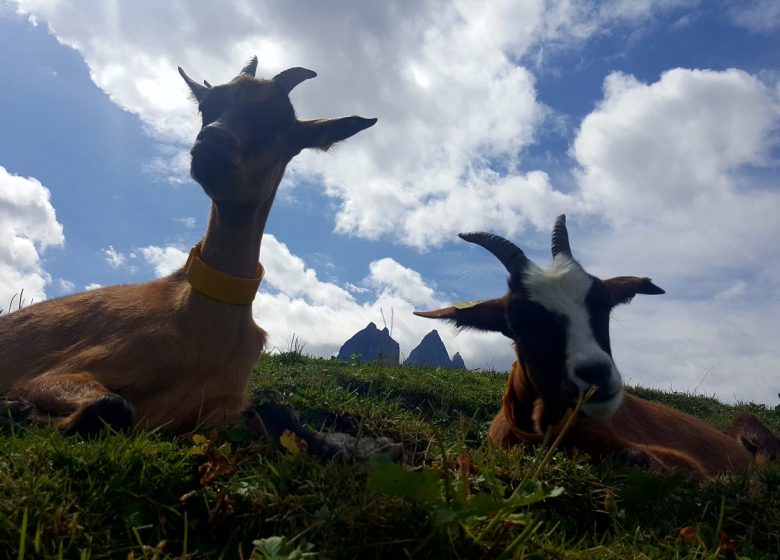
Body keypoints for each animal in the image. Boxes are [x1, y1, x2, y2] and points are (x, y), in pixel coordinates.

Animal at [0, 55, 378, 434]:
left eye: (278, 121)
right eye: (206, 108)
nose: (212, 141)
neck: (202, 327)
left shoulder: (220, 409)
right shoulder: (60, 369)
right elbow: (112, 405)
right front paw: (19, 407)